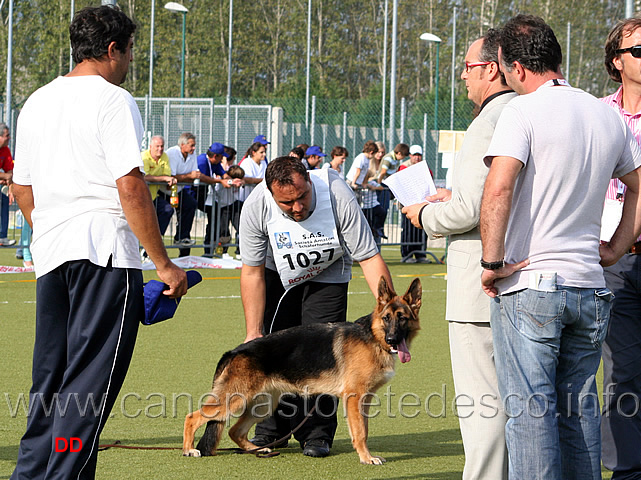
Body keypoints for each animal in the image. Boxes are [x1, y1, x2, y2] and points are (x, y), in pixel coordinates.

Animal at [182, 278, 420, 464]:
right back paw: (188, 449)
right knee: (192, 417)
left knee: (234, 431)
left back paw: (256, 449)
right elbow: (360, 432)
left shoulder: (364, 399)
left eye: (402, 318)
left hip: (263, 405)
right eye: (386, 318)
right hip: (235, 400)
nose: (392, 339)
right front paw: (366, 458)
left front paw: (366, 455)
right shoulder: (354, 398)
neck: (373, 337)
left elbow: (365, 429)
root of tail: (234, 351)